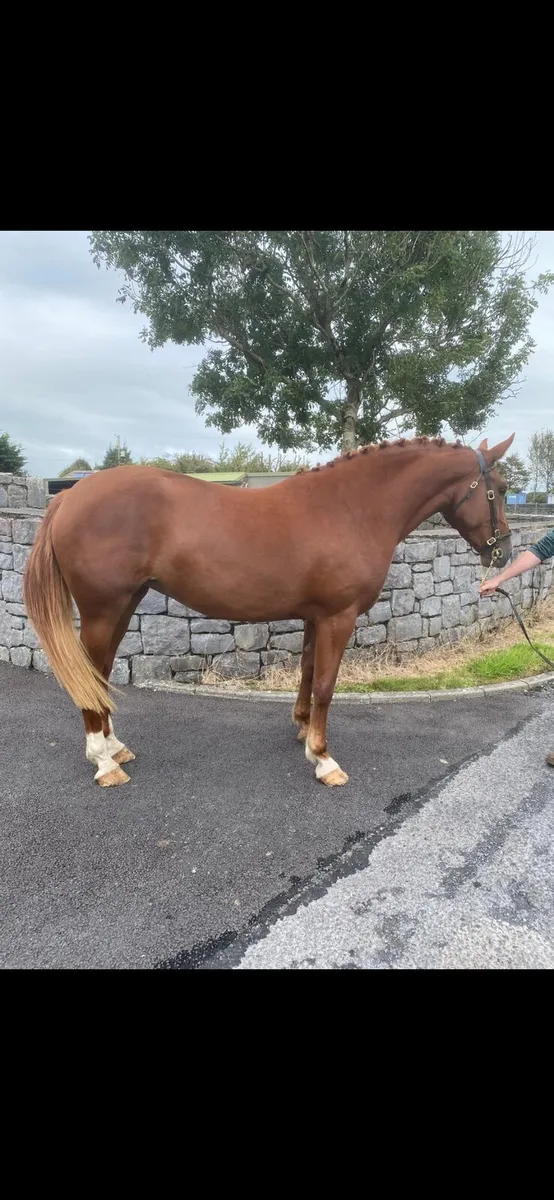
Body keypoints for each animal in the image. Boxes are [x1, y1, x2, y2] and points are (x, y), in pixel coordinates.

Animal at [23, 432, 514, 790]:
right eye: (502, 489)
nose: (504, 553)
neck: (350, 509)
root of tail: (69, 496)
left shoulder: (317, 616)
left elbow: (308, 672)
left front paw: (303, 731)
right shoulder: (338, 617)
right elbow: (326, 685)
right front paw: (324, 759)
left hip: (125, 604)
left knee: (99, 672)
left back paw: (115, 747)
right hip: (104, 609)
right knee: (91, 672)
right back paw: (104, 763)